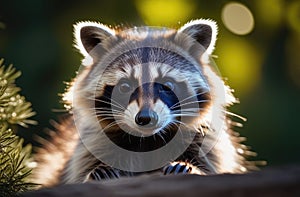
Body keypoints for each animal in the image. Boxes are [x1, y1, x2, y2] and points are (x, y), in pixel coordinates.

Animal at [33, 18, 258, 186]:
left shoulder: (206, 142)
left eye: (167, 84)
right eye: (125, 86)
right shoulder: (91, 144)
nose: (146, 118)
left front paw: (191, 168)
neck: (147, 139)